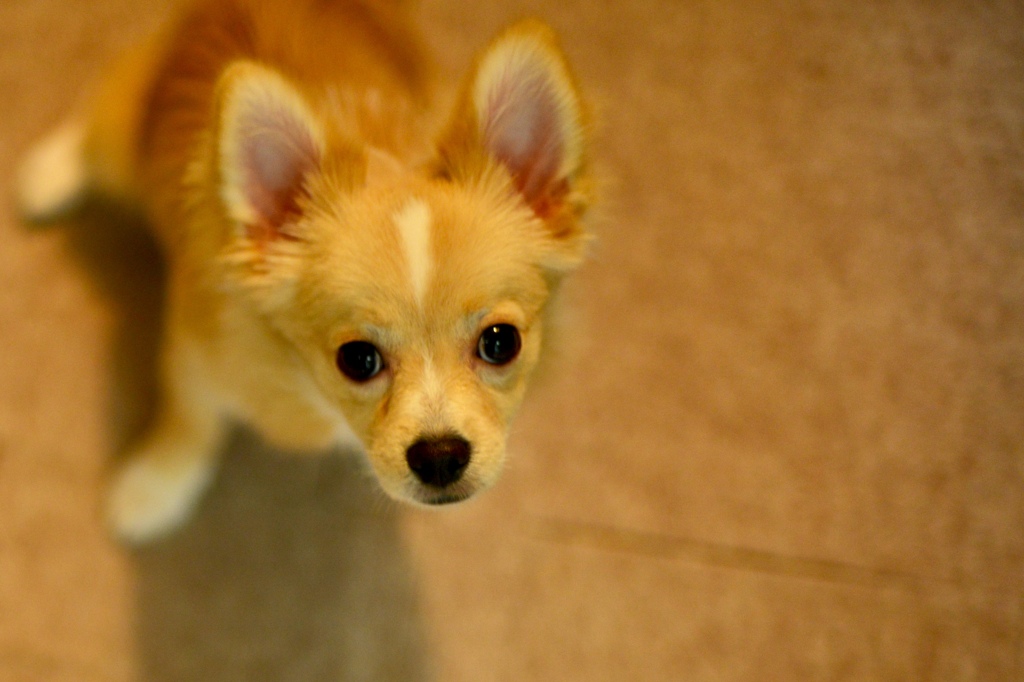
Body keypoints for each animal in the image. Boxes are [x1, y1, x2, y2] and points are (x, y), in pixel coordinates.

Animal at [14, 0, 593, 540]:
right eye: (357, 359)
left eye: (501, 343)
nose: (440, 455)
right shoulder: (193, 352)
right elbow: (189, 419)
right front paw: (155, 487)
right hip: (124, 128)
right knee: (96, 124)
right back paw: (47, 175)